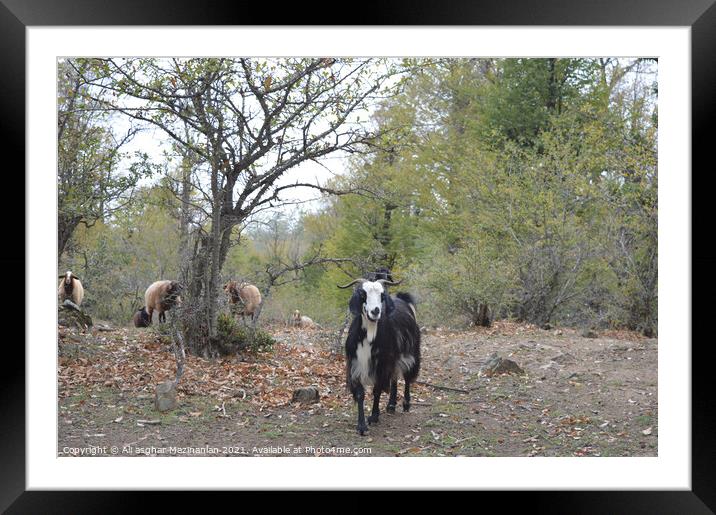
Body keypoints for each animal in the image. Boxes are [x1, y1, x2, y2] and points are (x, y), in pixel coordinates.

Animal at [340, 278, 422, 436]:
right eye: (363, 294)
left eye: (382, 295)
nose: (375, 311)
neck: (369, 335)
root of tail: (402, 299)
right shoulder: (356, 365)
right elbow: (360, 394)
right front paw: (361, 426)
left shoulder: (382, 364)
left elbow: (377, 390)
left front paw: (374, 416)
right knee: (395, 377)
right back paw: (391, 405)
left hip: (411, 351)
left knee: (407, 376)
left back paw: (406, 404)